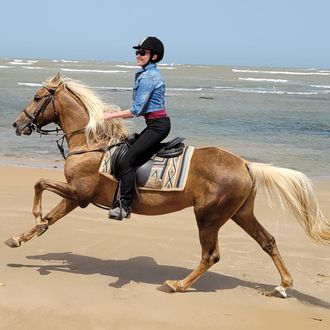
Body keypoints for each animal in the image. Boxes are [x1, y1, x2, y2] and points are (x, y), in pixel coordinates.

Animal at [9, 73, 328, 298]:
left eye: (37, 97)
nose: (16, 125)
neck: (93, 144)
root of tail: (245, 164)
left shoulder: (80, 194)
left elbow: (39, 183)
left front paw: (36, 219)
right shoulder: (75, 196)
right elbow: (52, 214)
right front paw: (22, 236)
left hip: (209, 217)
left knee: (211, 255)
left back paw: (178, 284)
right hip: (240, 213)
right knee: (268, 241)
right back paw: (282, 286)